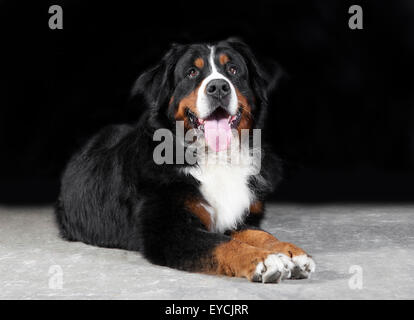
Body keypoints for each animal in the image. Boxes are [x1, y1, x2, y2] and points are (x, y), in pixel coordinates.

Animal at [55, 38, 314, 284]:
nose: (218, 87)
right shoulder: (168, 230)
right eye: (191, 72)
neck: (216, 156)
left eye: (232, 70)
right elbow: (221, 244)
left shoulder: (240, 218)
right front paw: (263, 260)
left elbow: (261, 235)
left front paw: (290, 252)